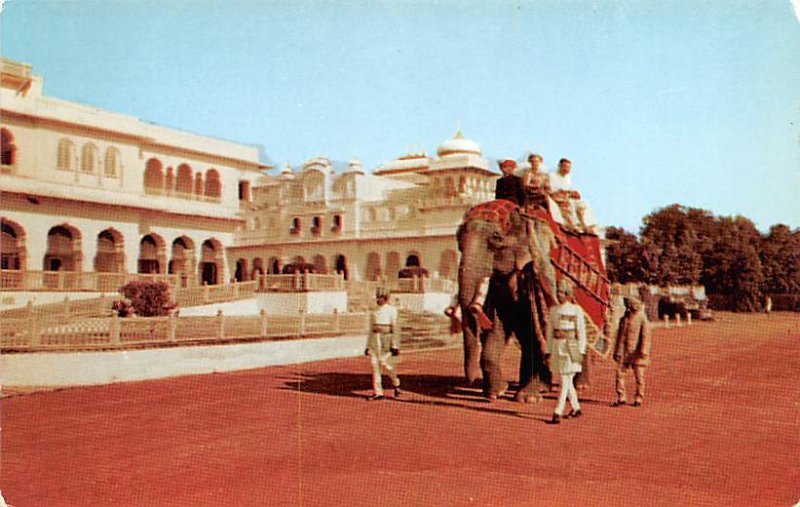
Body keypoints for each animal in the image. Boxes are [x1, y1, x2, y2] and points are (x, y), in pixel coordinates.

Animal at [456, 200, 556, 402]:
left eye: (496, 238)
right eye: (458, 240)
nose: (468, 382)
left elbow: (534, 331)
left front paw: (528, 399)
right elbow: (498, 326)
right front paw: (496, 393)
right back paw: (543, 388)